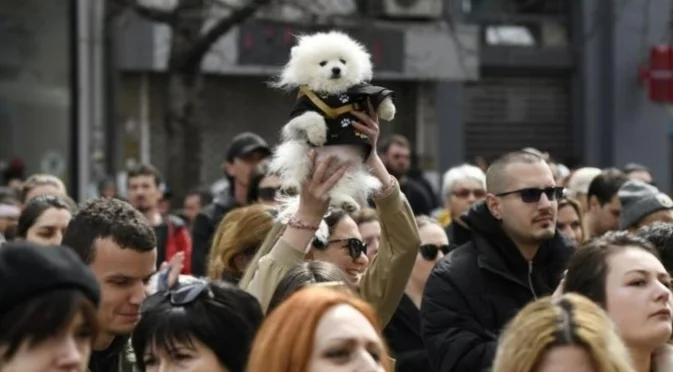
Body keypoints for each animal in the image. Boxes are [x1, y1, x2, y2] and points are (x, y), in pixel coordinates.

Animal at [268, 30, 394, 214]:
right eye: (323, 63)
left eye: (343, 61)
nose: (336, 69)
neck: (333, 92)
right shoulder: (300, 111)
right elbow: (312, 116)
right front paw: (318, 135)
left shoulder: (361, 90)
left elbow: (379, 94)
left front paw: (389, 111)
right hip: (303, 153)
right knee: (298, 171)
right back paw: (292, 186)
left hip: (350, 170)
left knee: (341, 189)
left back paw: (347, 203)